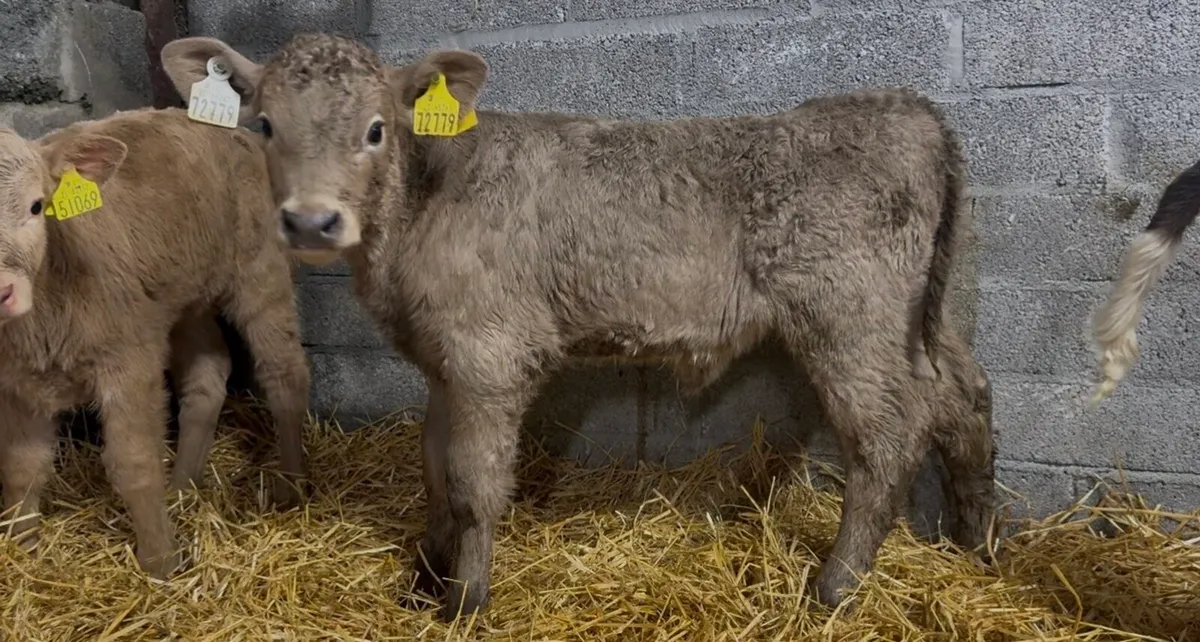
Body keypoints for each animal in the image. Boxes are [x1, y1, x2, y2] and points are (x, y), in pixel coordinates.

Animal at [0, 108, 310, 578]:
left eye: (37, 206)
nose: (2, 290)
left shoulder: (130, 360)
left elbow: (134, 461)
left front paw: (161, 561)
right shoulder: (16, 383)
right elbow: (22, 468)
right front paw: (23, 550)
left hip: (261, 273)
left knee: (284, 375)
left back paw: (289, 487)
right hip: (181, 302)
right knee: (208, 376)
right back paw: (182, 486)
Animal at [161, 33, 996, 620]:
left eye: (375, 130)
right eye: (263, 124)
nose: (310, 221)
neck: (418, 208)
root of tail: (903, 107)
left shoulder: (491, 354)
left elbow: (474, 481)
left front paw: (464, 602)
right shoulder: (443, 360)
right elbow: (433, 468)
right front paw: (425, 577)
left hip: (850, 320)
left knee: (889, 436)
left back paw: (834, 588)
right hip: (927, 319)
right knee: (965, 399)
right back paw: (978, 543)